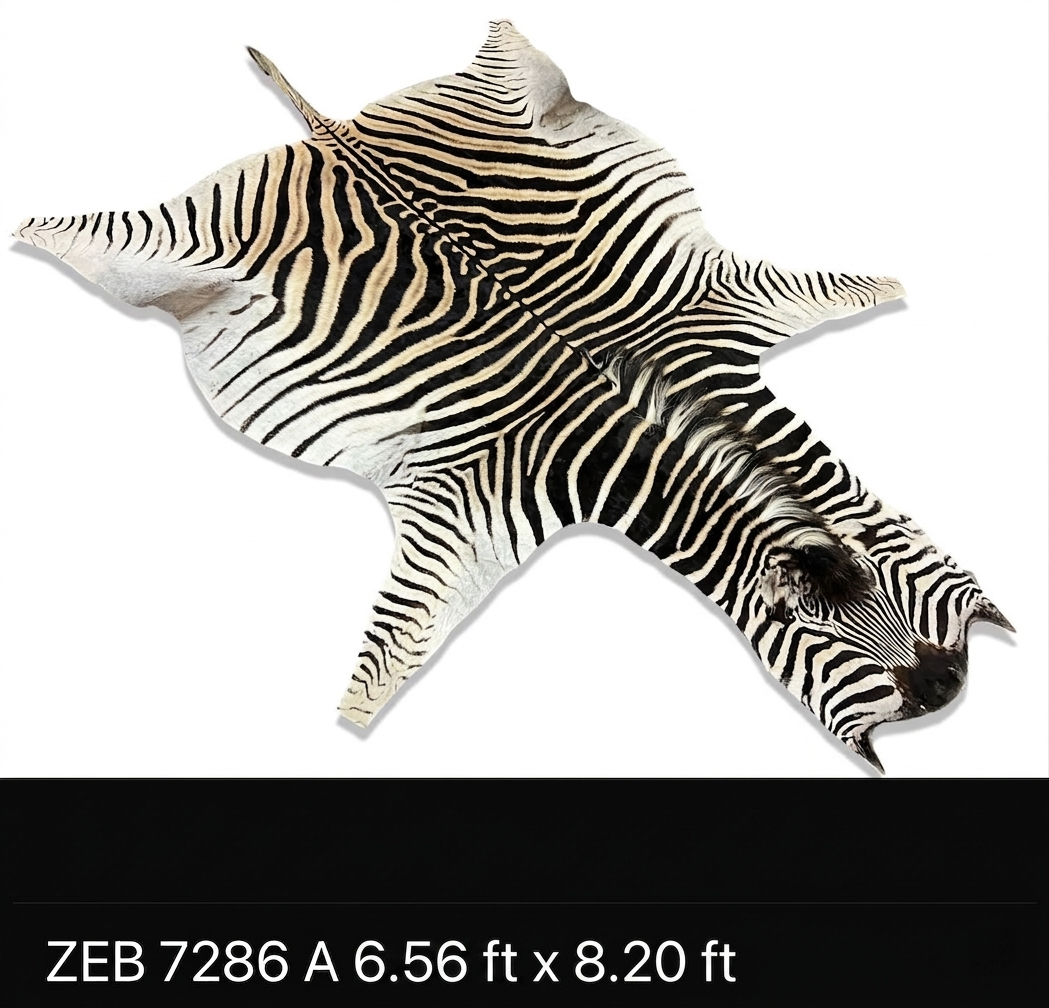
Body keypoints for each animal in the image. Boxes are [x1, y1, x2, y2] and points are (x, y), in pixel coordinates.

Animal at [15, 20, 1012, 772]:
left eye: (878, 575)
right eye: (787, 623)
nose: (943, 690)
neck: (648, 410)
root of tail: (337, 132)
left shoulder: (716, 305)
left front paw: (879, 289)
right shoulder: (470, 501)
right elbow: (398, 638)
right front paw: (357, 715)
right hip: (169, 252)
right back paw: (42, 229)